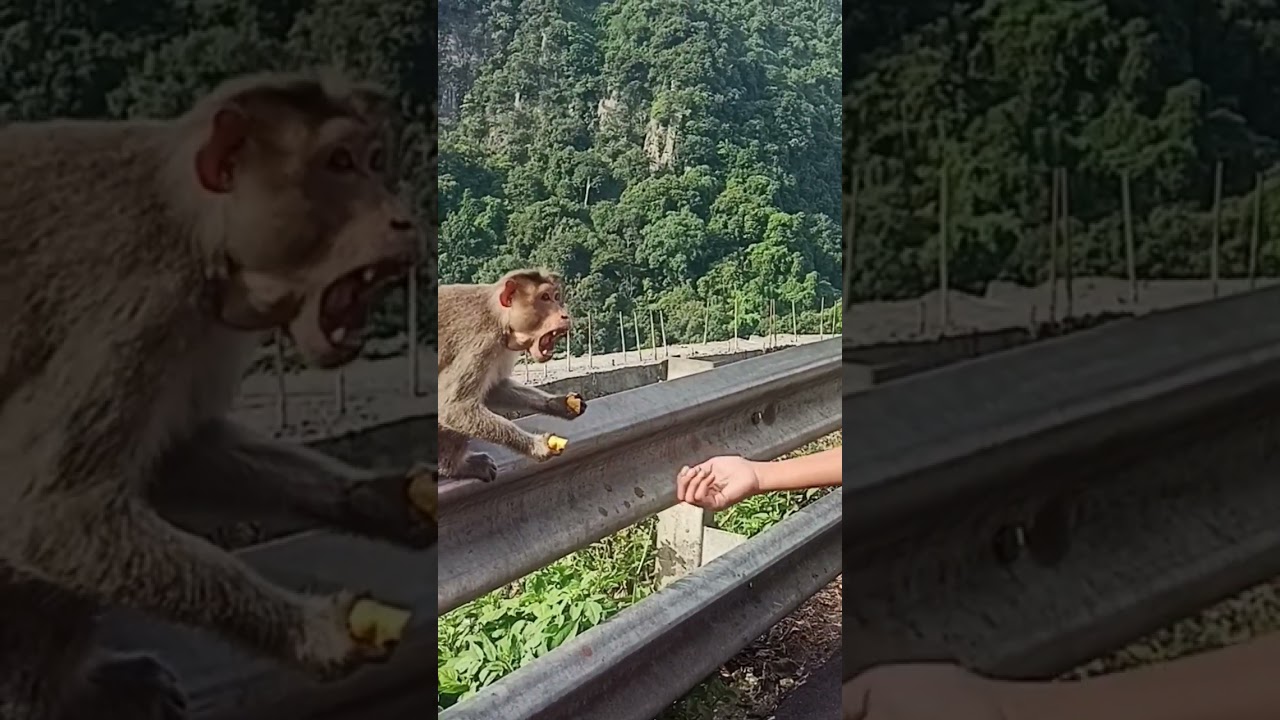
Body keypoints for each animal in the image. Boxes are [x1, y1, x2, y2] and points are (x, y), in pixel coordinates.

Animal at [0, 70, 438, 720]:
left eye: (373, 161)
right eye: (338, 163)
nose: (403, 220)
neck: (193, 230)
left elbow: (181, 452)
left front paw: (375, 498)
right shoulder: (141, 303)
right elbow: (51, 515)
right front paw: (309, 634)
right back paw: (62, 697)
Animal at [437, 269, 588, 482]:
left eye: (557, 297)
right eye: (545, 297)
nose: (565, 315)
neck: (498, 318)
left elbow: (495, 389)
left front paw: (558, 403)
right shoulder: (481, 343)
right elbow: (453, 408)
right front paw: (536, 447)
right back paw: (455, 467)